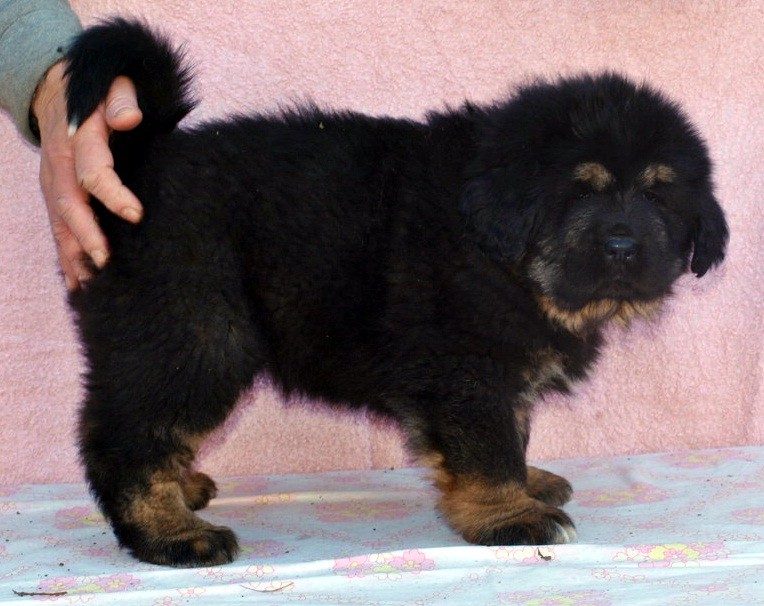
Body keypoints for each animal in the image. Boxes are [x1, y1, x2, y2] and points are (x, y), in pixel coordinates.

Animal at [63, 19, 728, 567]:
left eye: (658, 195)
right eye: (580, 191)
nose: (622, 247)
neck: (499, 248)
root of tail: (143, 160)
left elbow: (513, 430)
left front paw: (528, 481)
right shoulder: (465, 366)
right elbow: (488, 447)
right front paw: (511, 516)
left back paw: (183, 490)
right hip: (194, 332)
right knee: (126, 436)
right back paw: (170, 533)